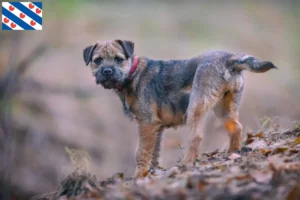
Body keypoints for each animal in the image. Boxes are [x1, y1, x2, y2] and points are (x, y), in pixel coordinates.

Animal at [82, 39, 276, 178]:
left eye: (119, 59)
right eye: (97, 60)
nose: (107, 71)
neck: (132, 74)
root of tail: (229, 58)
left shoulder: (146, 123)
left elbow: (141, 152)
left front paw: (138, 176)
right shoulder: (156, 128)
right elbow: (154, 152)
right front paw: (150, 173)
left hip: (196, 105)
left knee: (197, 136)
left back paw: (186, 164)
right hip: (225, 106)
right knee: (236, 127)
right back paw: (232, 153)